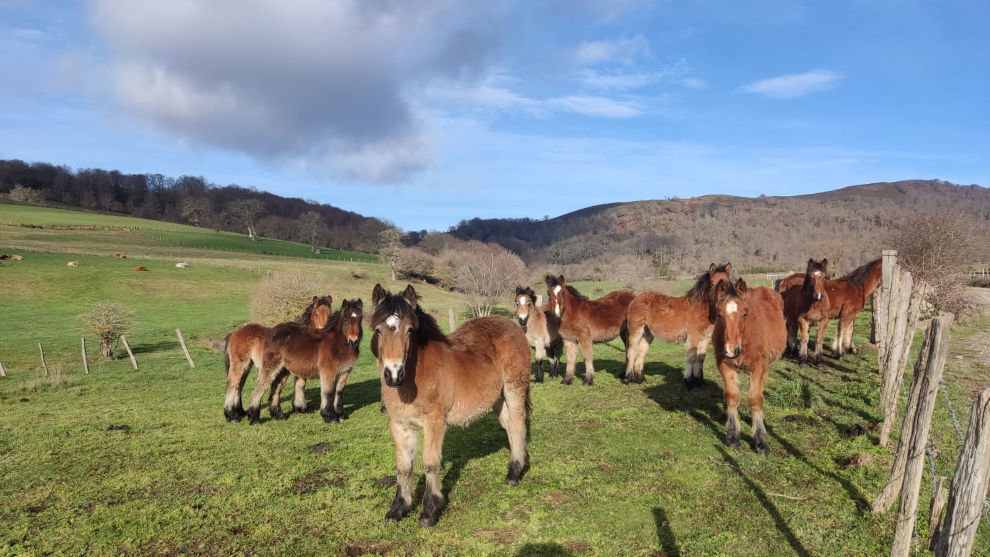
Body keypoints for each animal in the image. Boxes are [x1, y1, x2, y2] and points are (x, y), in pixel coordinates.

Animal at [370, 284, 532, 524]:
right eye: (379, 331)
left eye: (409, 330)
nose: (394, 374)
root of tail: (513, 325)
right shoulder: (399, 425)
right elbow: (404, 466)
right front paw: (398, 508)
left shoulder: (435, 422)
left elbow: (430, 463)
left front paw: (429, 511)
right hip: (497, 398)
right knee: (510, 426)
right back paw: (516, 466)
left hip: (514, 389)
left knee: (518, 423)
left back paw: (515, 473)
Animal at [712, 278, 792, 456]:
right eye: (719, 314)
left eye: (744, 313)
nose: (731, 350)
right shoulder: (725, 365)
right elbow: (732, 396)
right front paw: (732, 435)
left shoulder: (759, 367)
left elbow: (755, 399)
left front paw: (761, 440)